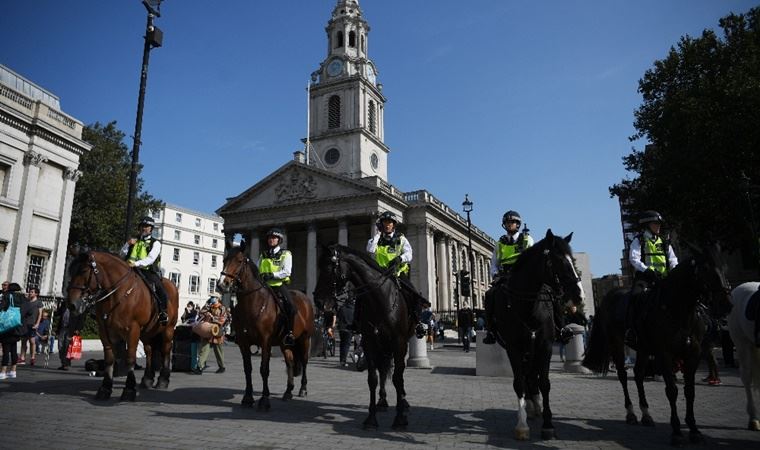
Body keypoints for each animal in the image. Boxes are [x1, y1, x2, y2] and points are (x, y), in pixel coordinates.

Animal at [65, 251, 178, 402]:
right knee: (149, 351)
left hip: (168, 329)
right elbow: (109, 359)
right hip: (147, 333)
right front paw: (105, 388)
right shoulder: (105, 331)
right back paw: (147, 379)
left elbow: (130, 359)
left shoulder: (133, 330)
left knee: (165, 350)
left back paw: (163, 380)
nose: (72, 304)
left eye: (83, 270)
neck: (117, 295)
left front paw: (129, 390)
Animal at [217, 243, 314, 412]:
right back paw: (288, 391)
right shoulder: (243, 342)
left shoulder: (265, 342)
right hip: (284, 343)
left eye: (240, 261)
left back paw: (303, 389)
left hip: (304, 339)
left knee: (304, 362)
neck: (252, 304)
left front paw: (264, 400)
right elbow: (248, 368)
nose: (222, 284)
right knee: (289, 362)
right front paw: (248, 398)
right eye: (224, 260)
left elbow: (264, 369)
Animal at [314, 244, 418, 430]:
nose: (318, 301)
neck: (380, 299)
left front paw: (400, 418)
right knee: (383, 369)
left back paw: (403, 401)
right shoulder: (370, 342)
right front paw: (371, 418)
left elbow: (398, 378)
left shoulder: (399, 342)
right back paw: (382, 401)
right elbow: (373, 379)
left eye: (329, 268)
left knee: (396, 372)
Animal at [490, 229, 584, 440]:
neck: (527, 307)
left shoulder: (545, 346)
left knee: (533, 378)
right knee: (527, 378)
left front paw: (548, 425)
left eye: (572, 259)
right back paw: (530, 408)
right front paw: (522, 425)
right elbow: (519, 383)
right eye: (559, 261)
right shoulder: (513, 348)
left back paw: (536, 407)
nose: (579, 295)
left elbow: (545, 383)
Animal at [580, 243, 732, 446]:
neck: (679, 311)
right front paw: (676, 432)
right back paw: (631, 413)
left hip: (643, 348)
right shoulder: (664, 353)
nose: (726, 305)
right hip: (616, 343)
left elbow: (690, 391)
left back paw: (646, 414)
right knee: (623, 375)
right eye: (706, 269)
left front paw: (694, 430)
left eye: (724, 267)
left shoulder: (693, 352)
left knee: (638, 374)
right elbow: (672, 390)